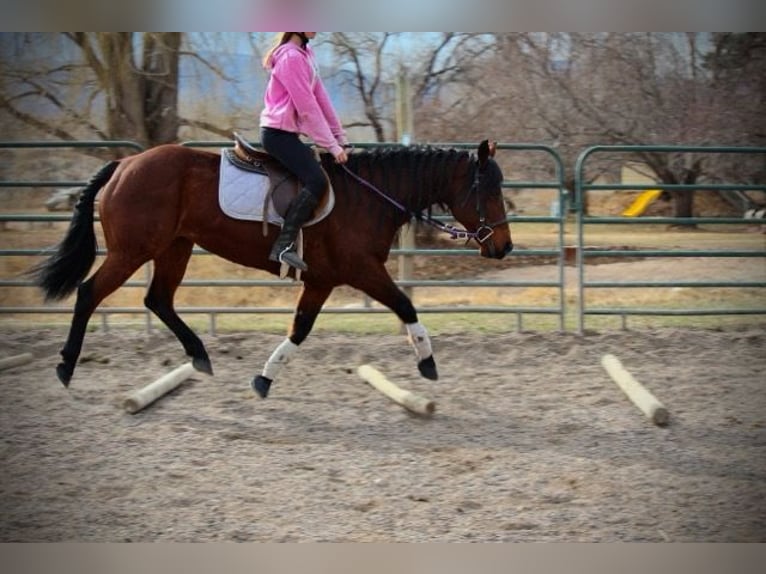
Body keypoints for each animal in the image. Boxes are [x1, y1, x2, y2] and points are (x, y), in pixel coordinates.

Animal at [30, 140, 512, 400]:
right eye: (489, 189)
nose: (504, 247)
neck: (369, 197)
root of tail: (125, 165)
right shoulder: (361, 270)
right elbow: (405, 305)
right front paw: (428, 362)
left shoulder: (321, 280)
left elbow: (299, 329)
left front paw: (263, 378)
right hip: (133, 250)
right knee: (90, 293)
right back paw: (66, 366)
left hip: (175, 248)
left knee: (158, 300)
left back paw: (200, 356)